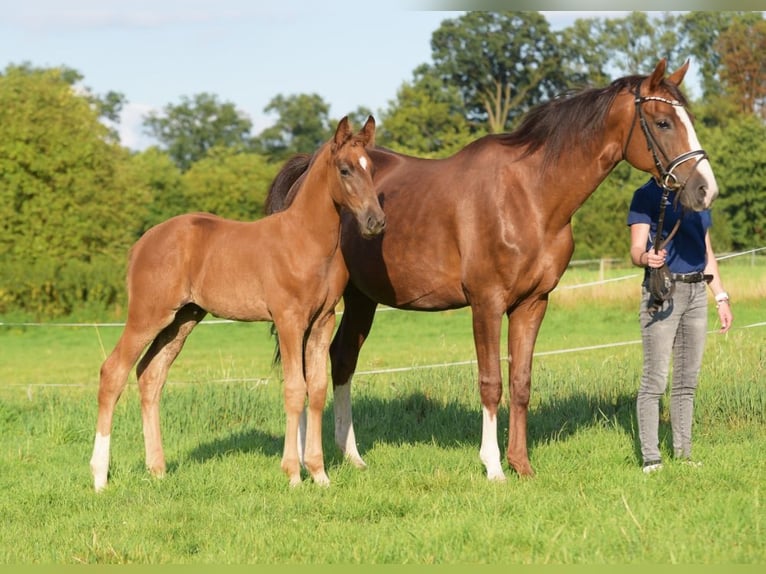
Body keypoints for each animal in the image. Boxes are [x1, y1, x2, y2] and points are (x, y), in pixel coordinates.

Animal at [91, 118, 388, 496]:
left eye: (372, 168)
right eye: (345, 169)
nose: (375, 222)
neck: (306, 239)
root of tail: (142, 243)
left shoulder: (322, 321)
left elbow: (318, 389)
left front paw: (320, 474)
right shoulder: (289, 320)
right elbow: (295, 389)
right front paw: (293, 474)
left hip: (182, 320)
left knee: (150, 375)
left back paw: (157, 470)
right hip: (147, 316)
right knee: (113, 372)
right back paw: (99, 476)